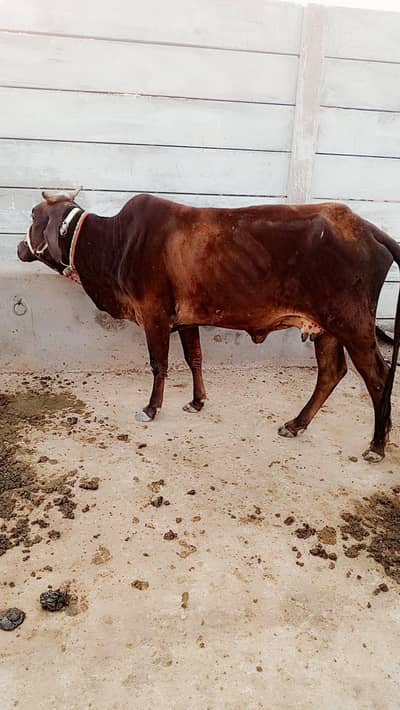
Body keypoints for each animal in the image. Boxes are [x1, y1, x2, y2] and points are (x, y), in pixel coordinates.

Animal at [17, 188, 400, 462]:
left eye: (34, 215)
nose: (21, 247)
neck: (115, 242)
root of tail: (367, 228)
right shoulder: (187, 321)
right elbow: (194, 359)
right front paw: (197, 401)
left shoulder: (154, 315)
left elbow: (159, 364)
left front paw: (151, 409)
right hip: (326, 329)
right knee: (331, 373)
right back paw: (296, 424)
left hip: (352, 324)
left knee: (378, 378)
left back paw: (377, 444)